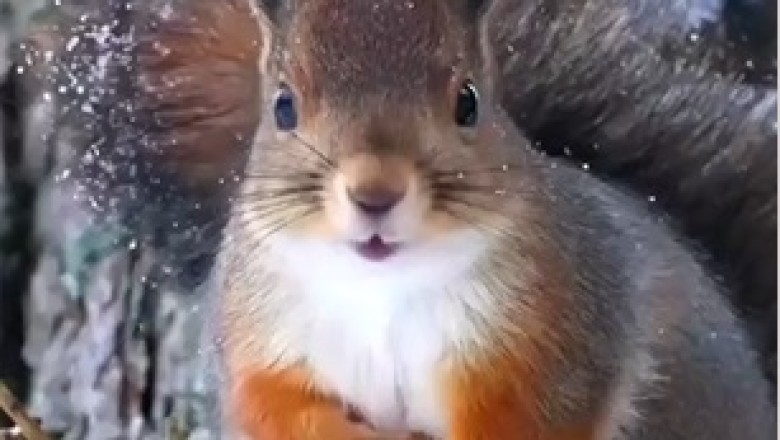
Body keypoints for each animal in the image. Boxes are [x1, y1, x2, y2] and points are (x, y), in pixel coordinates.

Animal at [215, 0, 775, 439]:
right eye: (284, 106)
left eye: (468, 102)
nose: (375, 193)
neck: (383, 290)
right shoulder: (263, 343)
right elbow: (273, 409)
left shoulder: (554, 339)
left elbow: (525, 421)